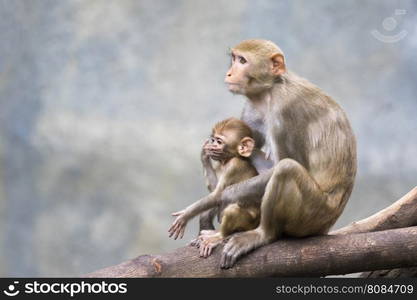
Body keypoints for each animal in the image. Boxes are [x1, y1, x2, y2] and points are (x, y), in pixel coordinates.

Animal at [168, 118, 260, 256]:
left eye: (219, 141)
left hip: (251, 224)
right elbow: (215, 193)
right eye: (214, 139)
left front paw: (185, 215)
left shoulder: (234, 167)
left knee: (232, 210)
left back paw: (218, 236)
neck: (228, 160)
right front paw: (204, 154)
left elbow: (218, 195)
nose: (213, 144)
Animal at [200, 38, 356, 268]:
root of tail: (327, 225)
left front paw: (223, 198)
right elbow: (246, 145)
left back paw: (263, 234)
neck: (271, 89)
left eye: (242, 61)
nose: (229, 73)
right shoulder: (252, 106)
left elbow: (288, 161)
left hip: (313, 215)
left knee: (286, 169)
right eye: (234, 59)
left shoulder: (285, 110)